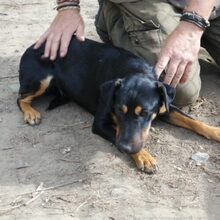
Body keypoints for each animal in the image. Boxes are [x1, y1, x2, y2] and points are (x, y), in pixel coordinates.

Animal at [18, 37, 220, 174]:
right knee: (20, 98)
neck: (134, 70)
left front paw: (215, 131)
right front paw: (144, 156)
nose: (125, 148)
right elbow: (118, 134)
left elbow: (193, 121)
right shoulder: (100, 123)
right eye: (118, 110)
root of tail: (33, 45)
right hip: (41, 79)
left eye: (144, 113)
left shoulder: (165, 106)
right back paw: (31, 113)